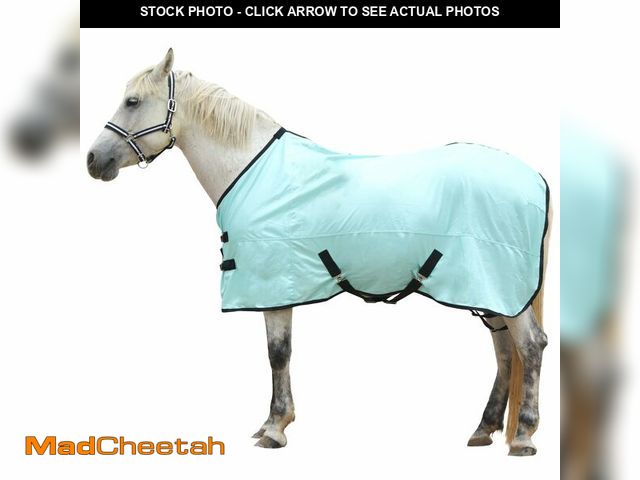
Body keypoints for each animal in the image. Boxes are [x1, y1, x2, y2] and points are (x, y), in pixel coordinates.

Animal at [86, 49, 550, 455]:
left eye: (132, 101)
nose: (93, 159)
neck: (252, 169)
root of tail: (536, 178)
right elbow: (279, 352)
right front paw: (272, 423)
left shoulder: (274, 285)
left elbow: (278, 353)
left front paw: (275, 428)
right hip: (489, 291)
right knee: (505, 349)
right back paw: (484, 429)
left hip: (500, 287)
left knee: (530, 346)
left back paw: (524, 437)